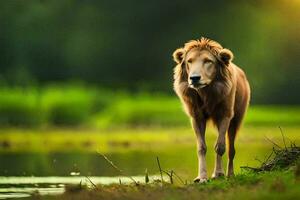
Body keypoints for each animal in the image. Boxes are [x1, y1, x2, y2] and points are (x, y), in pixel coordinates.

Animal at [172, 36, 250, 182]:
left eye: (208, 61)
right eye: (190, 61)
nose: (194, 78)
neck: (206, 92)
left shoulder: (225, 114)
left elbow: (220, 146)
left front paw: (218, 174)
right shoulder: (196, 116)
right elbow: (201, 147)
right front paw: (202, 177)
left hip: (237, 117)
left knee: (231, 148)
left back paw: (230, 174)